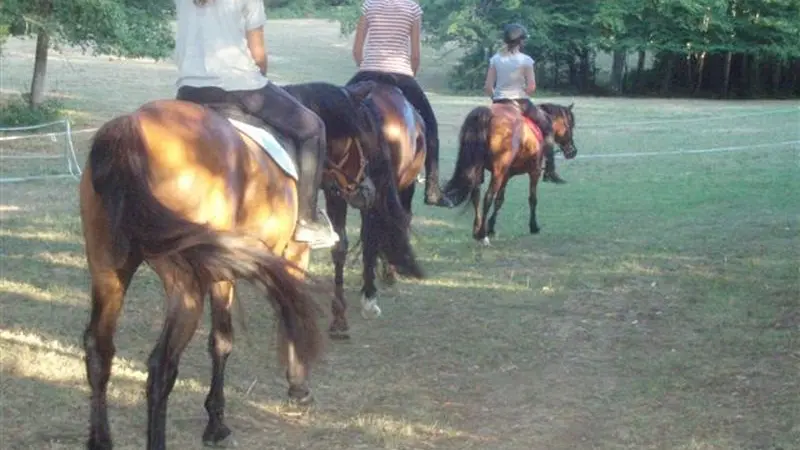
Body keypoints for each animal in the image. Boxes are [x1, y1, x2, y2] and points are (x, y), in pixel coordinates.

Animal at [284, 81, 428, 338]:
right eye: (364, 140)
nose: (367, 188)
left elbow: (366, 240)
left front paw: (367, 297)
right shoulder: (337, 192)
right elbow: (341, 245)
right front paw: (339, 316)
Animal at [444, 102, 576, 244]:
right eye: (570, 125)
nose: (573, 151)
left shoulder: (506, 174)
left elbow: (499, 200)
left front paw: (491, 226)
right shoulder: (534, 172)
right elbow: (532, 199)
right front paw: (533, 226)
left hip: (480, 169)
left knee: (476, 195)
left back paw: (477, 229)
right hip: (498, 172)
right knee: (487, 197)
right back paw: (482, 234)